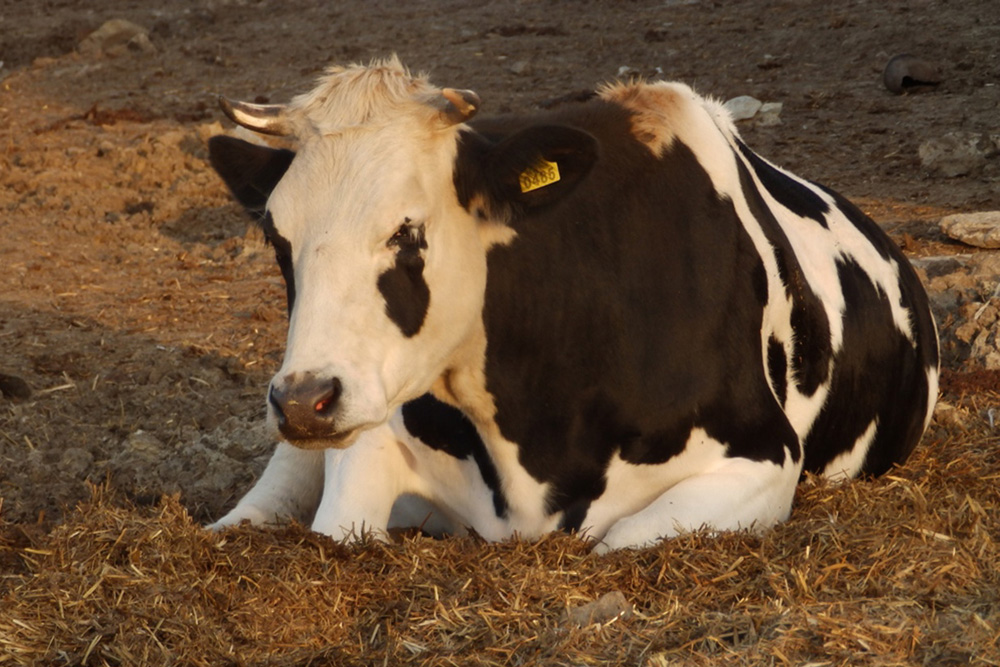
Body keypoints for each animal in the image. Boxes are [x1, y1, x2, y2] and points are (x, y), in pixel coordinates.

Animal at [207, 57, 940, 552]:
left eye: (407, 230)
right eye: (277, 238)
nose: (304, 399)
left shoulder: (764, 456)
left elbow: (617, 540)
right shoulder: (370, 434)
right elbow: (334, 527)